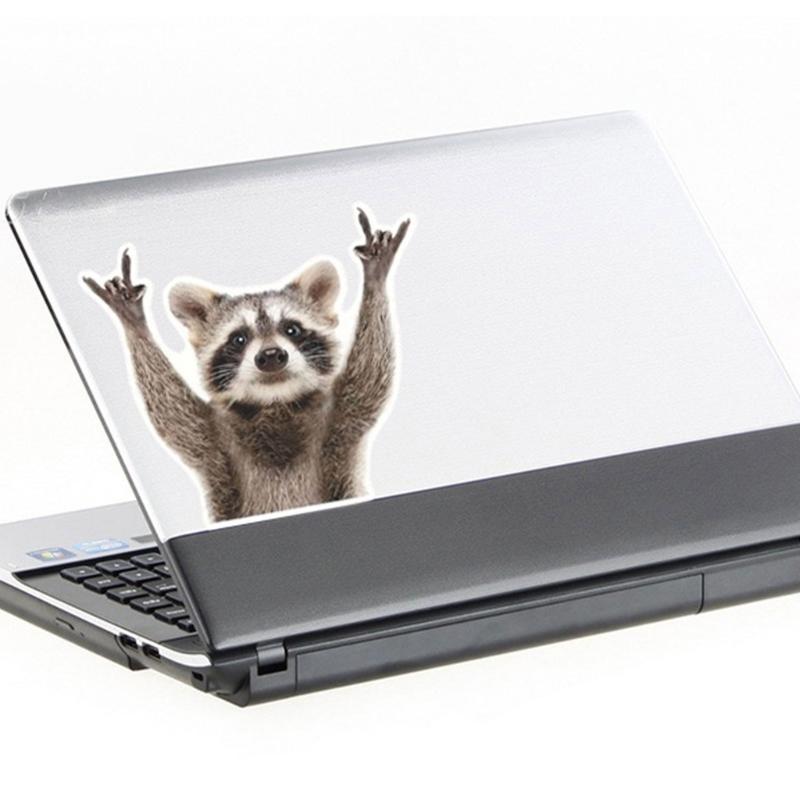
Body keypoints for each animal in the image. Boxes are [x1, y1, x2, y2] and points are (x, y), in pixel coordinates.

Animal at [83, 208, 411, 522]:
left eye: (292, 329)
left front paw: (374, 278)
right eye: (239, 339)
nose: (271, 356)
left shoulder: (340, 421)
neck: (275, 404)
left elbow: (371, 374)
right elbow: (171, 412)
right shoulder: (213, 440)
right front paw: (135, 323)